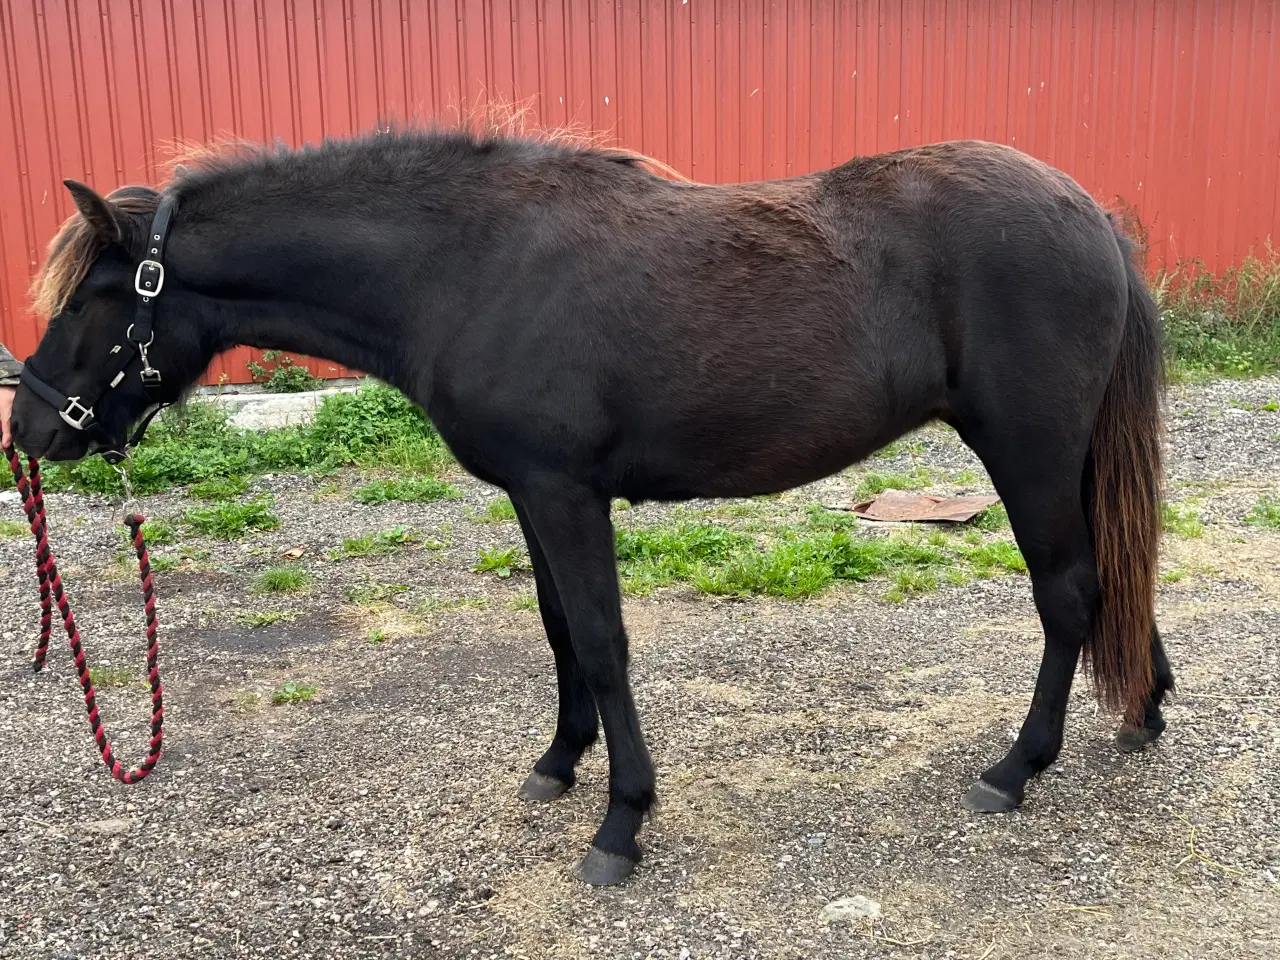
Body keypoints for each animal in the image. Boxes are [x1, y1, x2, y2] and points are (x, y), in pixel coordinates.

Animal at [10, 126, 1172, 885]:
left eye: (91, 299)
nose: (29, 430)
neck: (468, 266)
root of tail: (1092, 217)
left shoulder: (567, 493)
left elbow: (606, 642)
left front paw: (621, 824)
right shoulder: (533, 493)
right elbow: (559, 629)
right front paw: (558, 766)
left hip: (1026, 451)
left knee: (1070, 593)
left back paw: (1014, 770)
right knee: (1119, 575)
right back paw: (1143, 712)